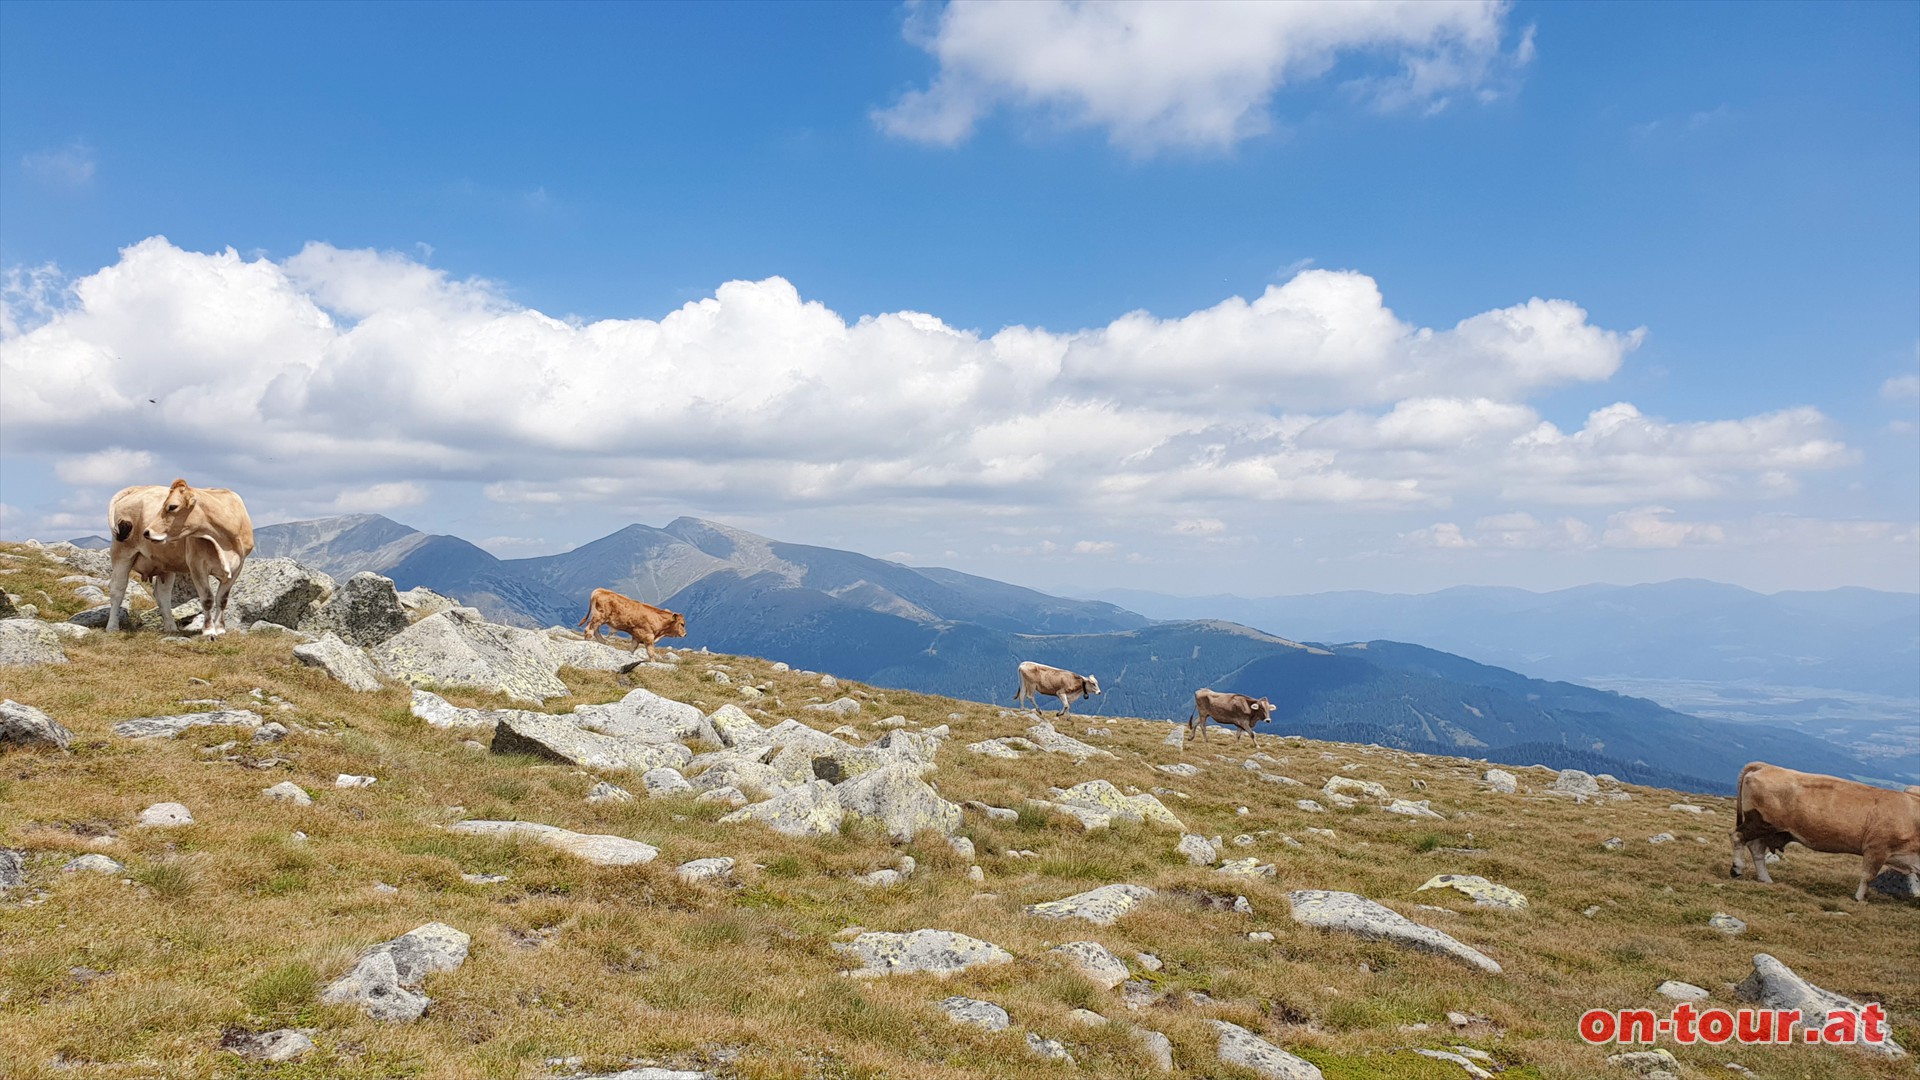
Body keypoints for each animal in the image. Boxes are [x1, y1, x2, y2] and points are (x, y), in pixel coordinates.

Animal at [106, 476, 255, 634]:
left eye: (172, 506)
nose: (147, 532)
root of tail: (137, 488)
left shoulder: (238, 566)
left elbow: (222, 599)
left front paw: (220, 629)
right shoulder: (197, 564)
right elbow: (207, 599)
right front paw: (209, 630)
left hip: (165, 563)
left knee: (163, 595)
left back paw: (171, 628)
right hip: (122, 553)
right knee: (117, 588)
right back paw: (112, 627)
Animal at [1728, 757, 1920, 899]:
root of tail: (1766, 766)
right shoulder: (1876, 848)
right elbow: (1868, 876)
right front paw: (1860, 898)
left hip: (1771, 829)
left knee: (1756, 848)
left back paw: (1765, 879)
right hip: (1759, 821)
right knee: (1737, 836)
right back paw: (1737, 868)